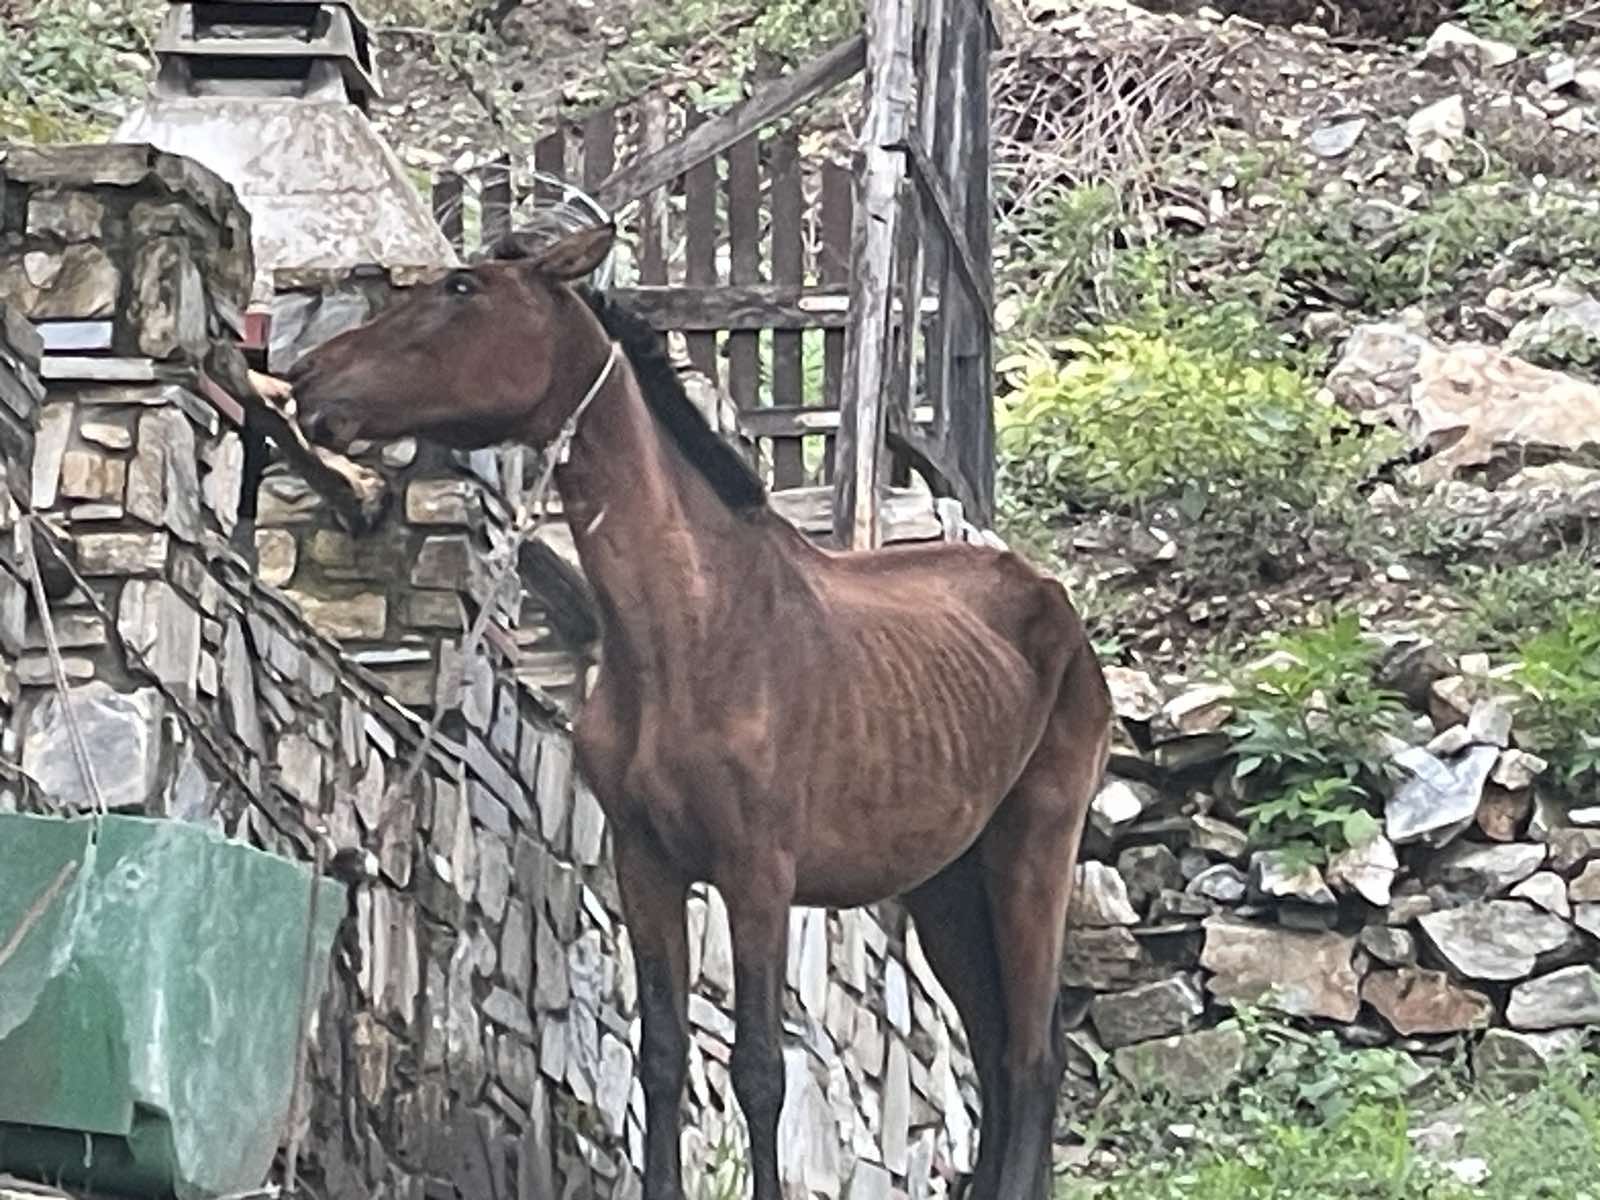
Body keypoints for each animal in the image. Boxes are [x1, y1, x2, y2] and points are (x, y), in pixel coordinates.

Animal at [284, 225, 1113, 1200]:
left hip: (1034, 847)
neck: (694, 629)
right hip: (946, 881)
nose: (306, 379)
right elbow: (663, 1058)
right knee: (995, 1048)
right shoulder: (646, 867)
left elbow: (759, 1069)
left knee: (1030, 1056)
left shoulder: (758, 876)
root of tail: (1053, 603)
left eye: (463, 288)